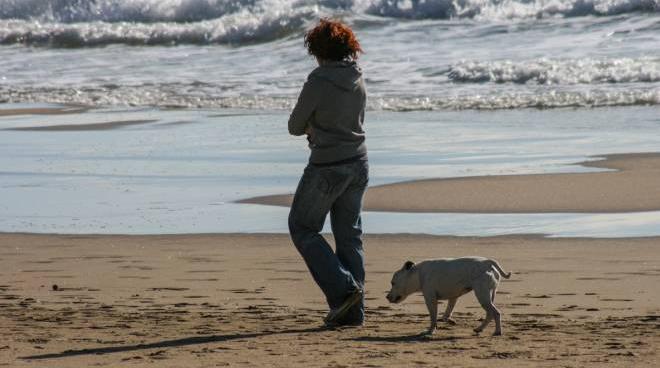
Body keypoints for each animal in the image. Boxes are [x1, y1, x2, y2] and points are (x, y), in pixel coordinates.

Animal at [384, 258, 512, 334]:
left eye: (393, 283)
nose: (387, 297)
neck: (418, 273)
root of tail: (488, 263)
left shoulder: (430, 299)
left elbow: (433, 317)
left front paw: (430, 331)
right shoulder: (453, 297)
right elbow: (447, 313)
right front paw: (450, 320)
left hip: (482, 295)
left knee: (495, 313)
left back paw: (497, 332)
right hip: (489, 295)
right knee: (490, 313)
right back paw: (479, 329)